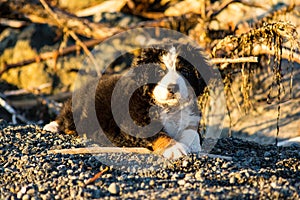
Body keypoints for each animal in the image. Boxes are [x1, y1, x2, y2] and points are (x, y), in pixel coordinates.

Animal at [44, 44, 211, 159]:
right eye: (159, 71)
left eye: (184, 71)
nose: (173, 87)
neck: (169, 108)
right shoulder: (136, 124)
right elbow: (159, 134)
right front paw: (174, 148)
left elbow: (192, 131)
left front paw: (193, 144)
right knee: (66, 119)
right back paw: (52, 126)